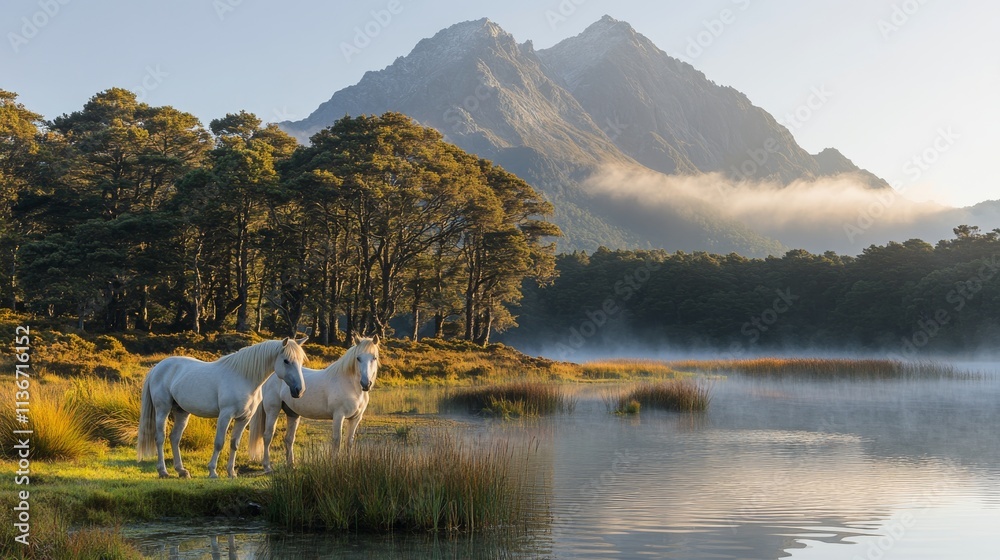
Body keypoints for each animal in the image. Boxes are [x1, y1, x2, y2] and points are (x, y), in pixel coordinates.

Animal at [137, 337, 308, 478]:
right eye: (286, 361)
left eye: (300, 361)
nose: (299, 390)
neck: (244, 378)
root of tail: (157, 367)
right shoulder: (225, 415)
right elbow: (219, 442)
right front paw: (213, 471)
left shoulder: (243, 418)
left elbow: (234, 444)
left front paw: (231, 472)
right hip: (162, 409)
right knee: (160, 438)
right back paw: (163, 471)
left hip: (182, 412)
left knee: (175, 438)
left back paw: (182, 471)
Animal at [248, 335, 379, 473]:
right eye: (358, 358)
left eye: (374, 357)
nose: (366, 384)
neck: (351, 386)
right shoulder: (339, 416)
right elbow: (337, 440)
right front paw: (335, 465)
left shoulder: (355, 418)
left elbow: (349, 441)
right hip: (272, 410)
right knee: (268, 436)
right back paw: (267, 466)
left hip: (292, 414)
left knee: (289, 439)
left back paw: (291, 465)